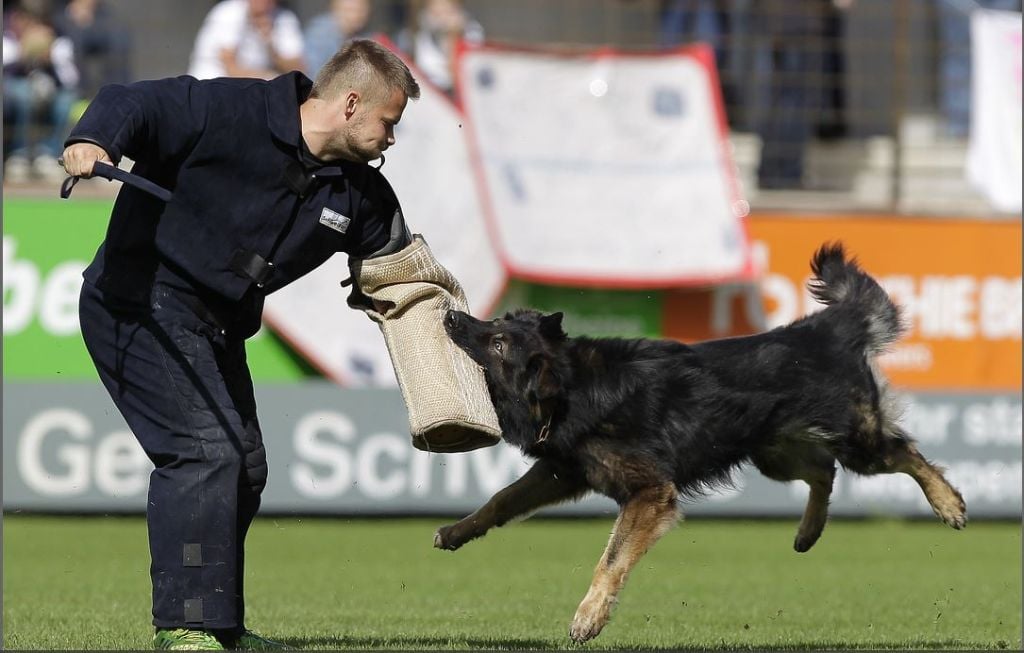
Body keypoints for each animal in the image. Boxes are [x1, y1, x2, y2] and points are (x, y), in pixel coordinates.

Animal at [434, 244, 966, 646]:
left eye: (498, 343)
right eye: (493, 325)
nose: (451, 318)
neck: (571, 385)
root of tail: (819, 329)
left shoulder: (650, 494)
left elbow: (610, 560)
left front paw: (589, 617)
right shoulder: (562, 472)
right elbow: (501, 500)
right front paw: (459, 530)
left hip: (858, 445)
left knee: (904, 453)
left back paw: (948, 504)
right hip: (773, 454)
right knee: (824, 471)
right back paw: (809, 531)